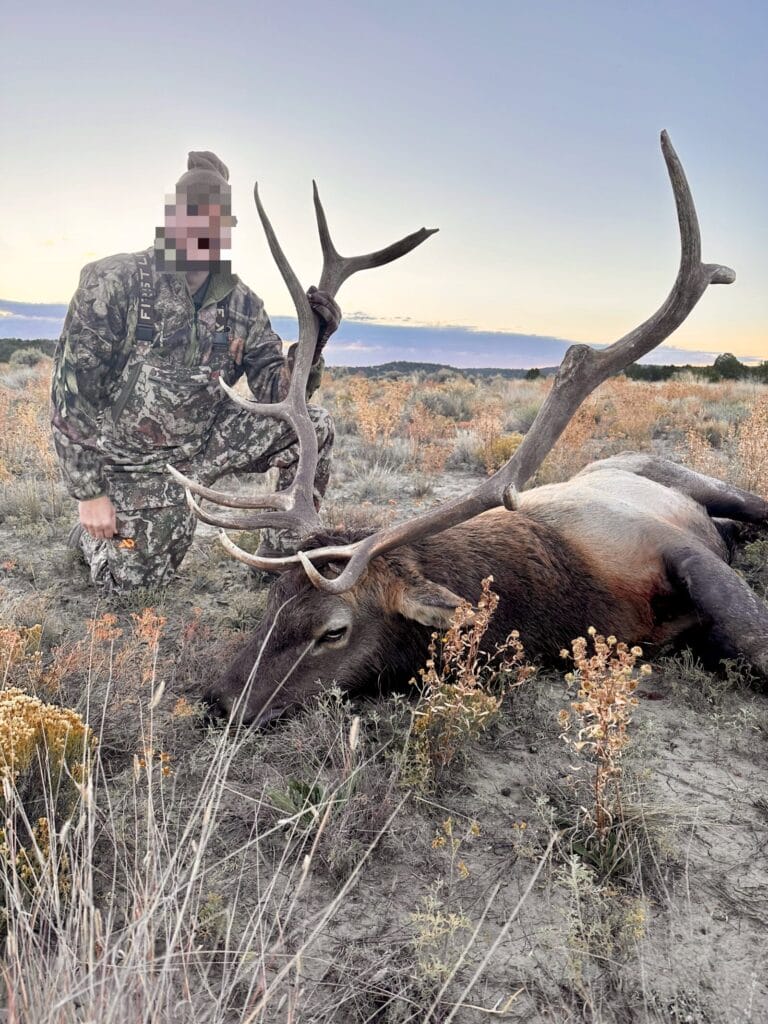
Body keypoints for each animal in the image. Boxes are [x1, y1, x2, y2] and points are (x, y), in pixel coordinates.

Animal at [168, 132, 768, 727]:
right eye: (271, 603)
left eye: (333, 630)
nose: (220, 698)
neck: (575, 594)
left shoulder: (663, 542)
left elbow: (751, 641)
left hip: (688, 476)